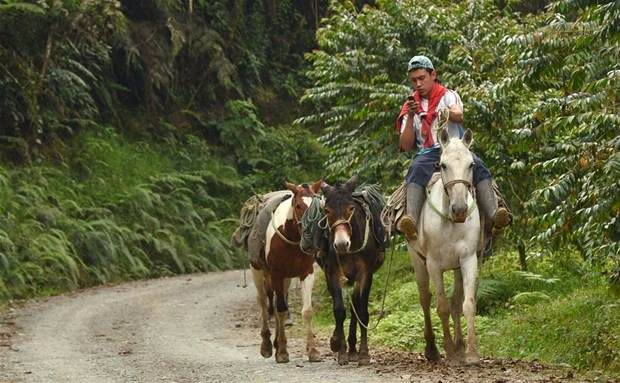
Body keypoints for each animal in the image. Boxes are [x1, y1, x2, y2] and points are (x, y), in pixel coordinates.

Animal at [249, 180, 322, 364]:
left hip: (286, 280)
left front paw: (313, 351)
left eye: (318, 206)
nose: (310, 241)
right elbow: (281, 310)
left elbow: (307, 311)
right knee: (263, 302)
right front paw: (282, 352)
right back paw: (267, 346)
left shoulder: (307, 273)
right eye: (298, 206)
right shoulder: (276, 273)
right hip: (257, 270)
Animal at [410, 128, 482, 366]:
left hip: (457, 268)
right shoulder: (433, 264)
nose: (460, 209)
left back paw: (459, 346)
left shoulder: (468, 259)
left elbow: (467, 304)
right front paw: (449, 351)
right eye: (442, 165)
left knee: (456, 302)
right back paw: (433, 349)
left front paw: (471, 353)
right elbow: (441, 307)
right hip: (418, 262)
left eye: (471, 165)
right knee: (425, 299)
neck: (451, 221)